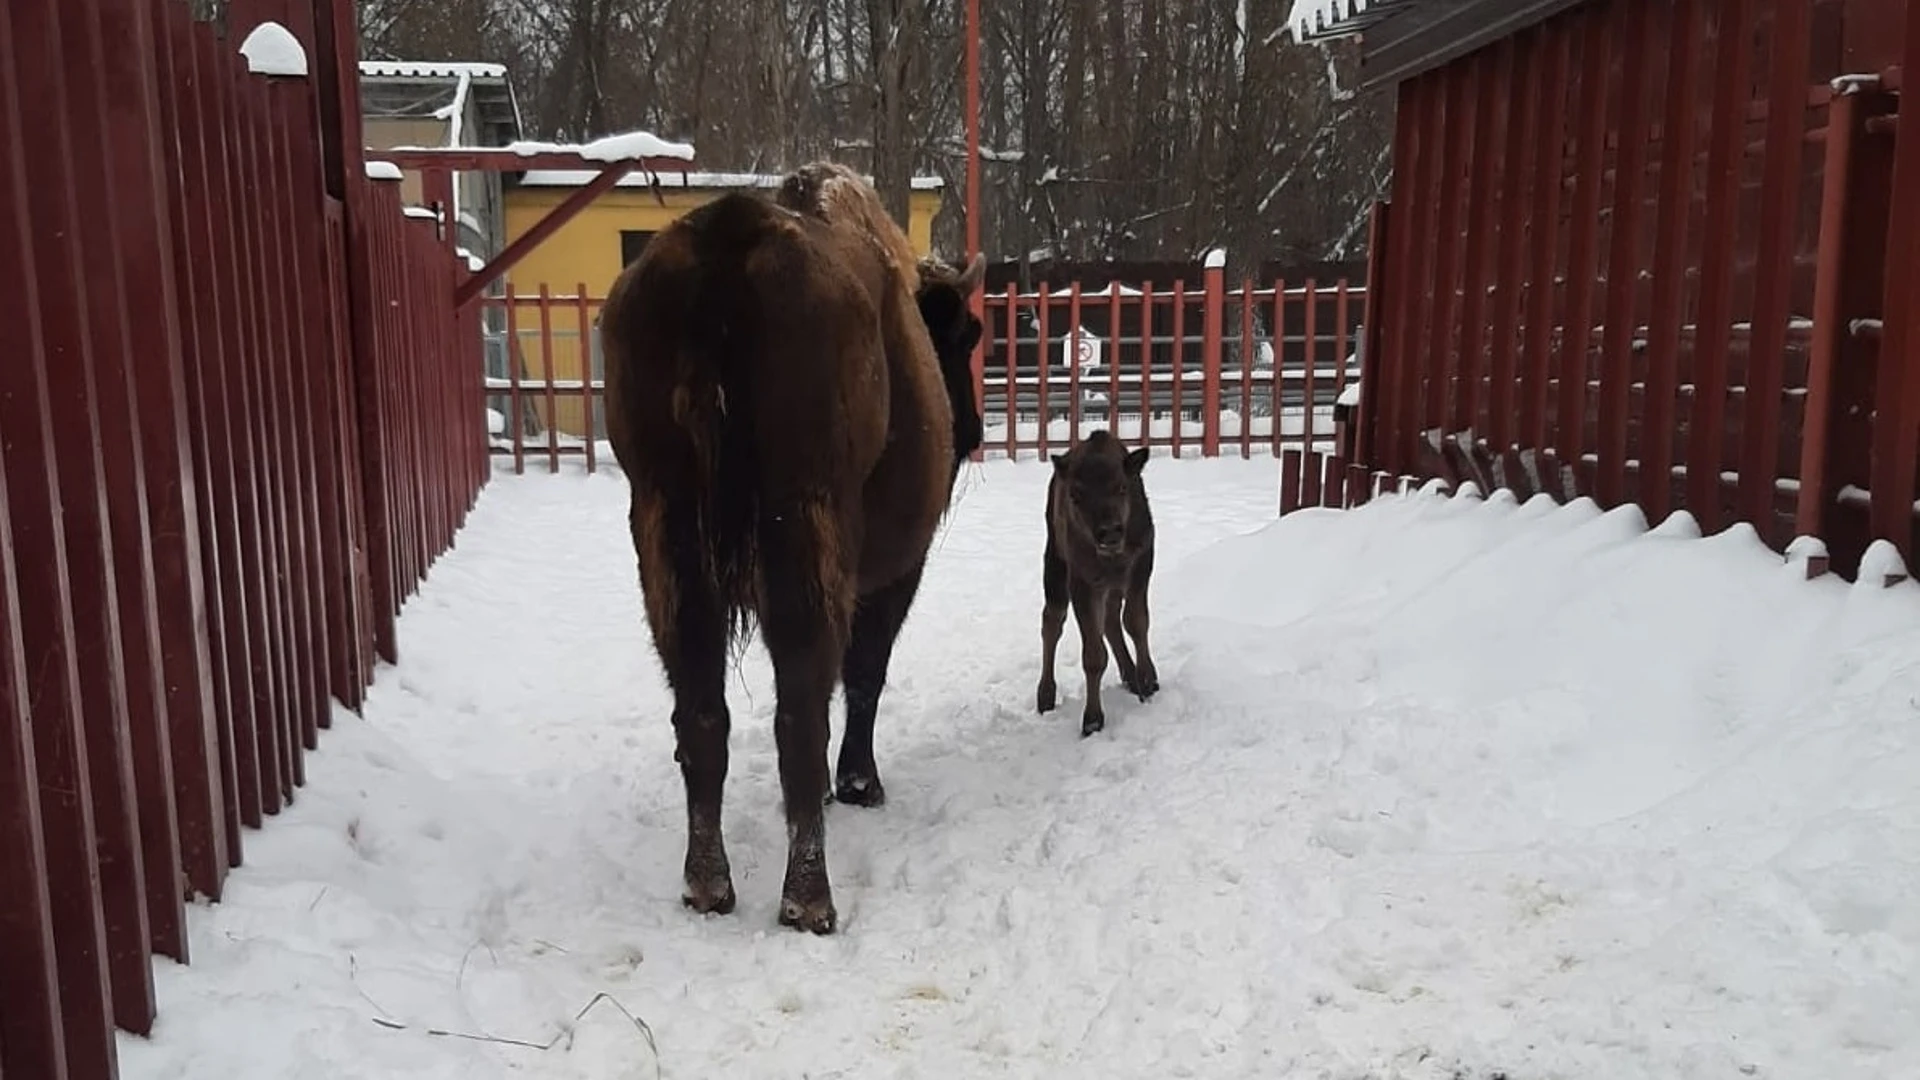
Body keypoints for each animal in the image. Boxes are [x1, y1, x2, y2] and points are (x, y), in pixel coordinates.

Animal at [599, 164, 983, 930]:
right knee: (799, 711)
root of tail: (726, 244)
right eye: (970, 334)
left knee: (701, 713)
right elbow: (863, 673)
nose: (974, 430)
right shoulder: (894, 571)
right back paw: (809, 900)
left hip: (667, 534)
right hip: (801, 528)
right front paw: (859, 783)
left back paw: (707, 885)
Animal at [1036, 424, 1152, 734]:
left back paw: (1131, 676)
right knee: (1052, 621)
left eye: (1122, 487)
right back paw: (1045, 696)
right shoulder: (1083, 582)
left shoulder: (1140, 565)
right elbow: (1093, 656)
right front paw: (1092, 720)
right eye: (1075, 495)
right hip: (1055, 566)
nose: (1109, 532)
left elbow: (1136, 622)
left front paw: (1148, 681)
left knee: (1111, 621)